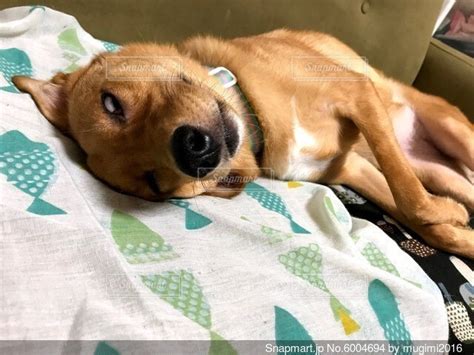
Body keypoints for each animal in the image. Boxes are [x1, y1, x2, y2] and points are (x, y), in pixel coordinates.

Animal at [12, 29, 472, 258]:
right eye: (154, 184)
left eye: (112, 104)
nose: (194, 151)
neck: (257, 122)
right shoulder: (350, 169)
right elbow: (416, 209)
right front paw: (455, 225)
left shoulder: (356, 93)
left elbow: (410, 195)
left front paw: (449, 214)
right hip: (441, 171)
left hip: (456, 132)